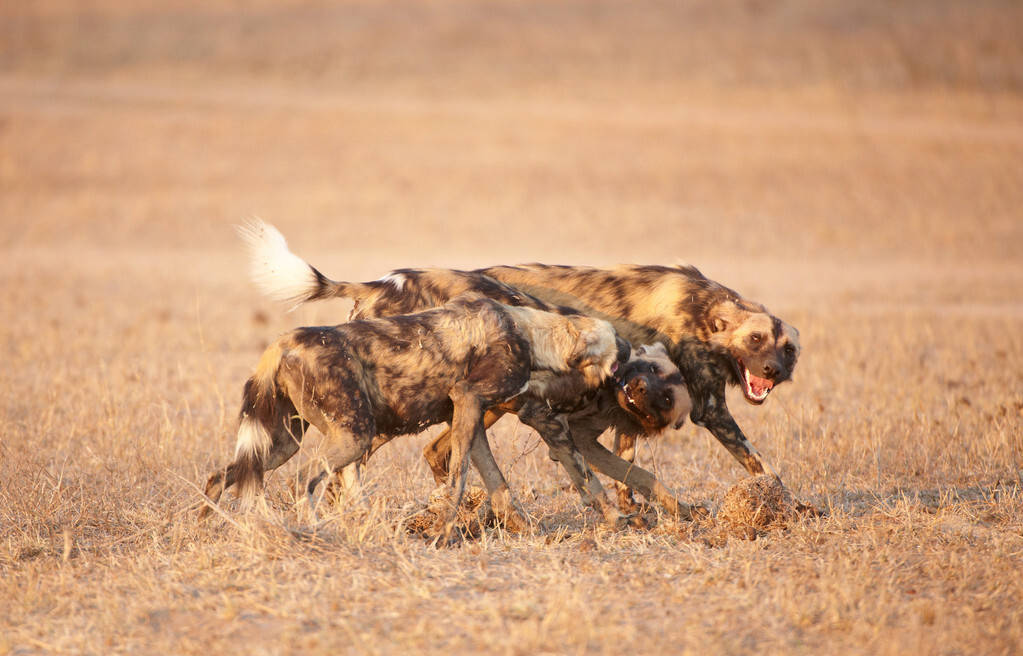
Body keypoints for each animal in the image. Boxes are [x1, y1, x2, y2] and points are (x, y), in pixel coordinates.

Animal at [194, 294, 617, 536]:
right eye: (620, 360)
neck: (529, 331)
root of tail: (283, 342)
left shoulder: (471, 419)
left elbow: (499, 486)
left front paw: (524, 530)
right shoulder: (469, 400)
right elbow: (458, 481)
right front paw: (444, 532)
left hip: (283, 443)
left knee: (226, 474)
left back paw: (205, 525)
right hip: (352, 437)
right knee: (308, 483)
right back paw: (313, 531)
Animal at [239, 220, 797, 511]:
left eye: (787, 349)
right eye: (755, 340)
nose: (772, 371)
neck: (705, 312)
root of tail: (382, 281)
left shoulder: (622, 414)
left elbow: (627, 468)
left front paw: (636, 511)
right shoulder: (709, 410)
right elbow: (762, 465)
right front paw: (791, 508)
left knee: (429, 454)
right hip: (401, 407)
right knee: (361, 461)